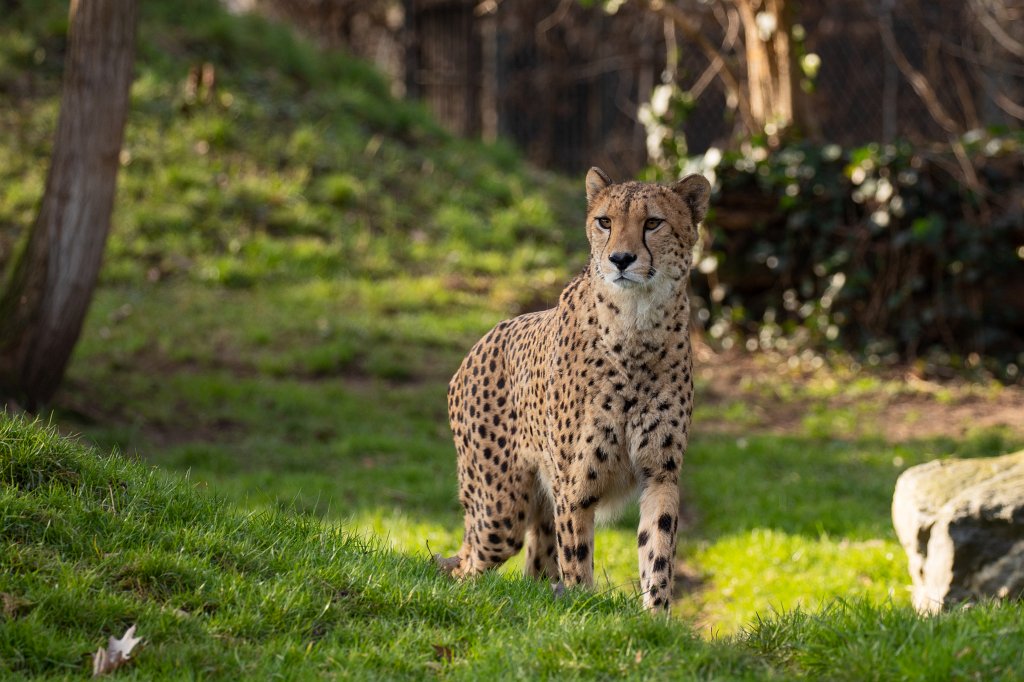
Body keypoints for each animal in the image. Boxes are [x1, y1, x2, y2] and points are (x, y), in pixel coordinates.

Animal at [435, 167, 710, 613]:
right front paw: (581, 608)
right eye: (605, 222)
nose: (620, 259)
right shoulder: (574, 485)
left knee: (534, 566)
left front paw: (657, 616)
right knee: (467, 567)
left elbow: (658, 551)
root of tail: (483, 339)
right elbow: (577, 557)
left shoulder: (660, 473)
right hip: (499, 512)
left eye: (653, 223)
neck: (637, 323)